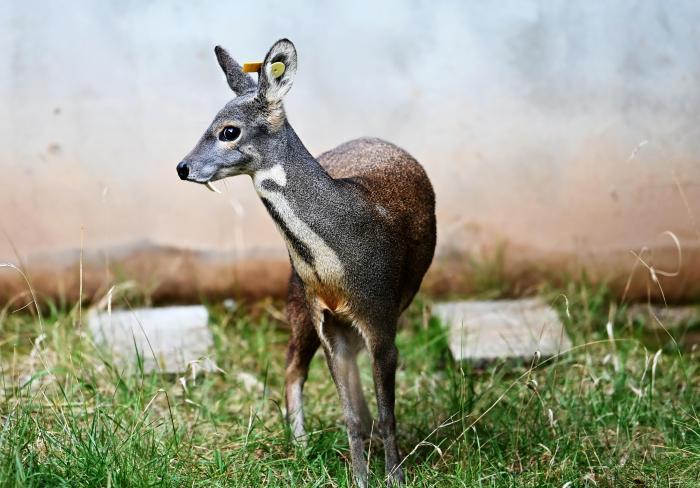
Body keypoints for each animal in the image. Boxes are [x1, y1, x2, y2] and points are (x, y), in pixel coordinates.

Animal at [178, 39, 434, 488]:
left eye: (229, 130)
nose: (182, 167)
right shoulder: (326, 317)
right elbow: (348, 414)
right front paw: (360, 479)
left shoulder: (380, 313)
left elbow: (387, 414)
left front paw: (394, 477)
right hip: (298, 299)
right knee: (292, 367)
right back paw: (300, 447)